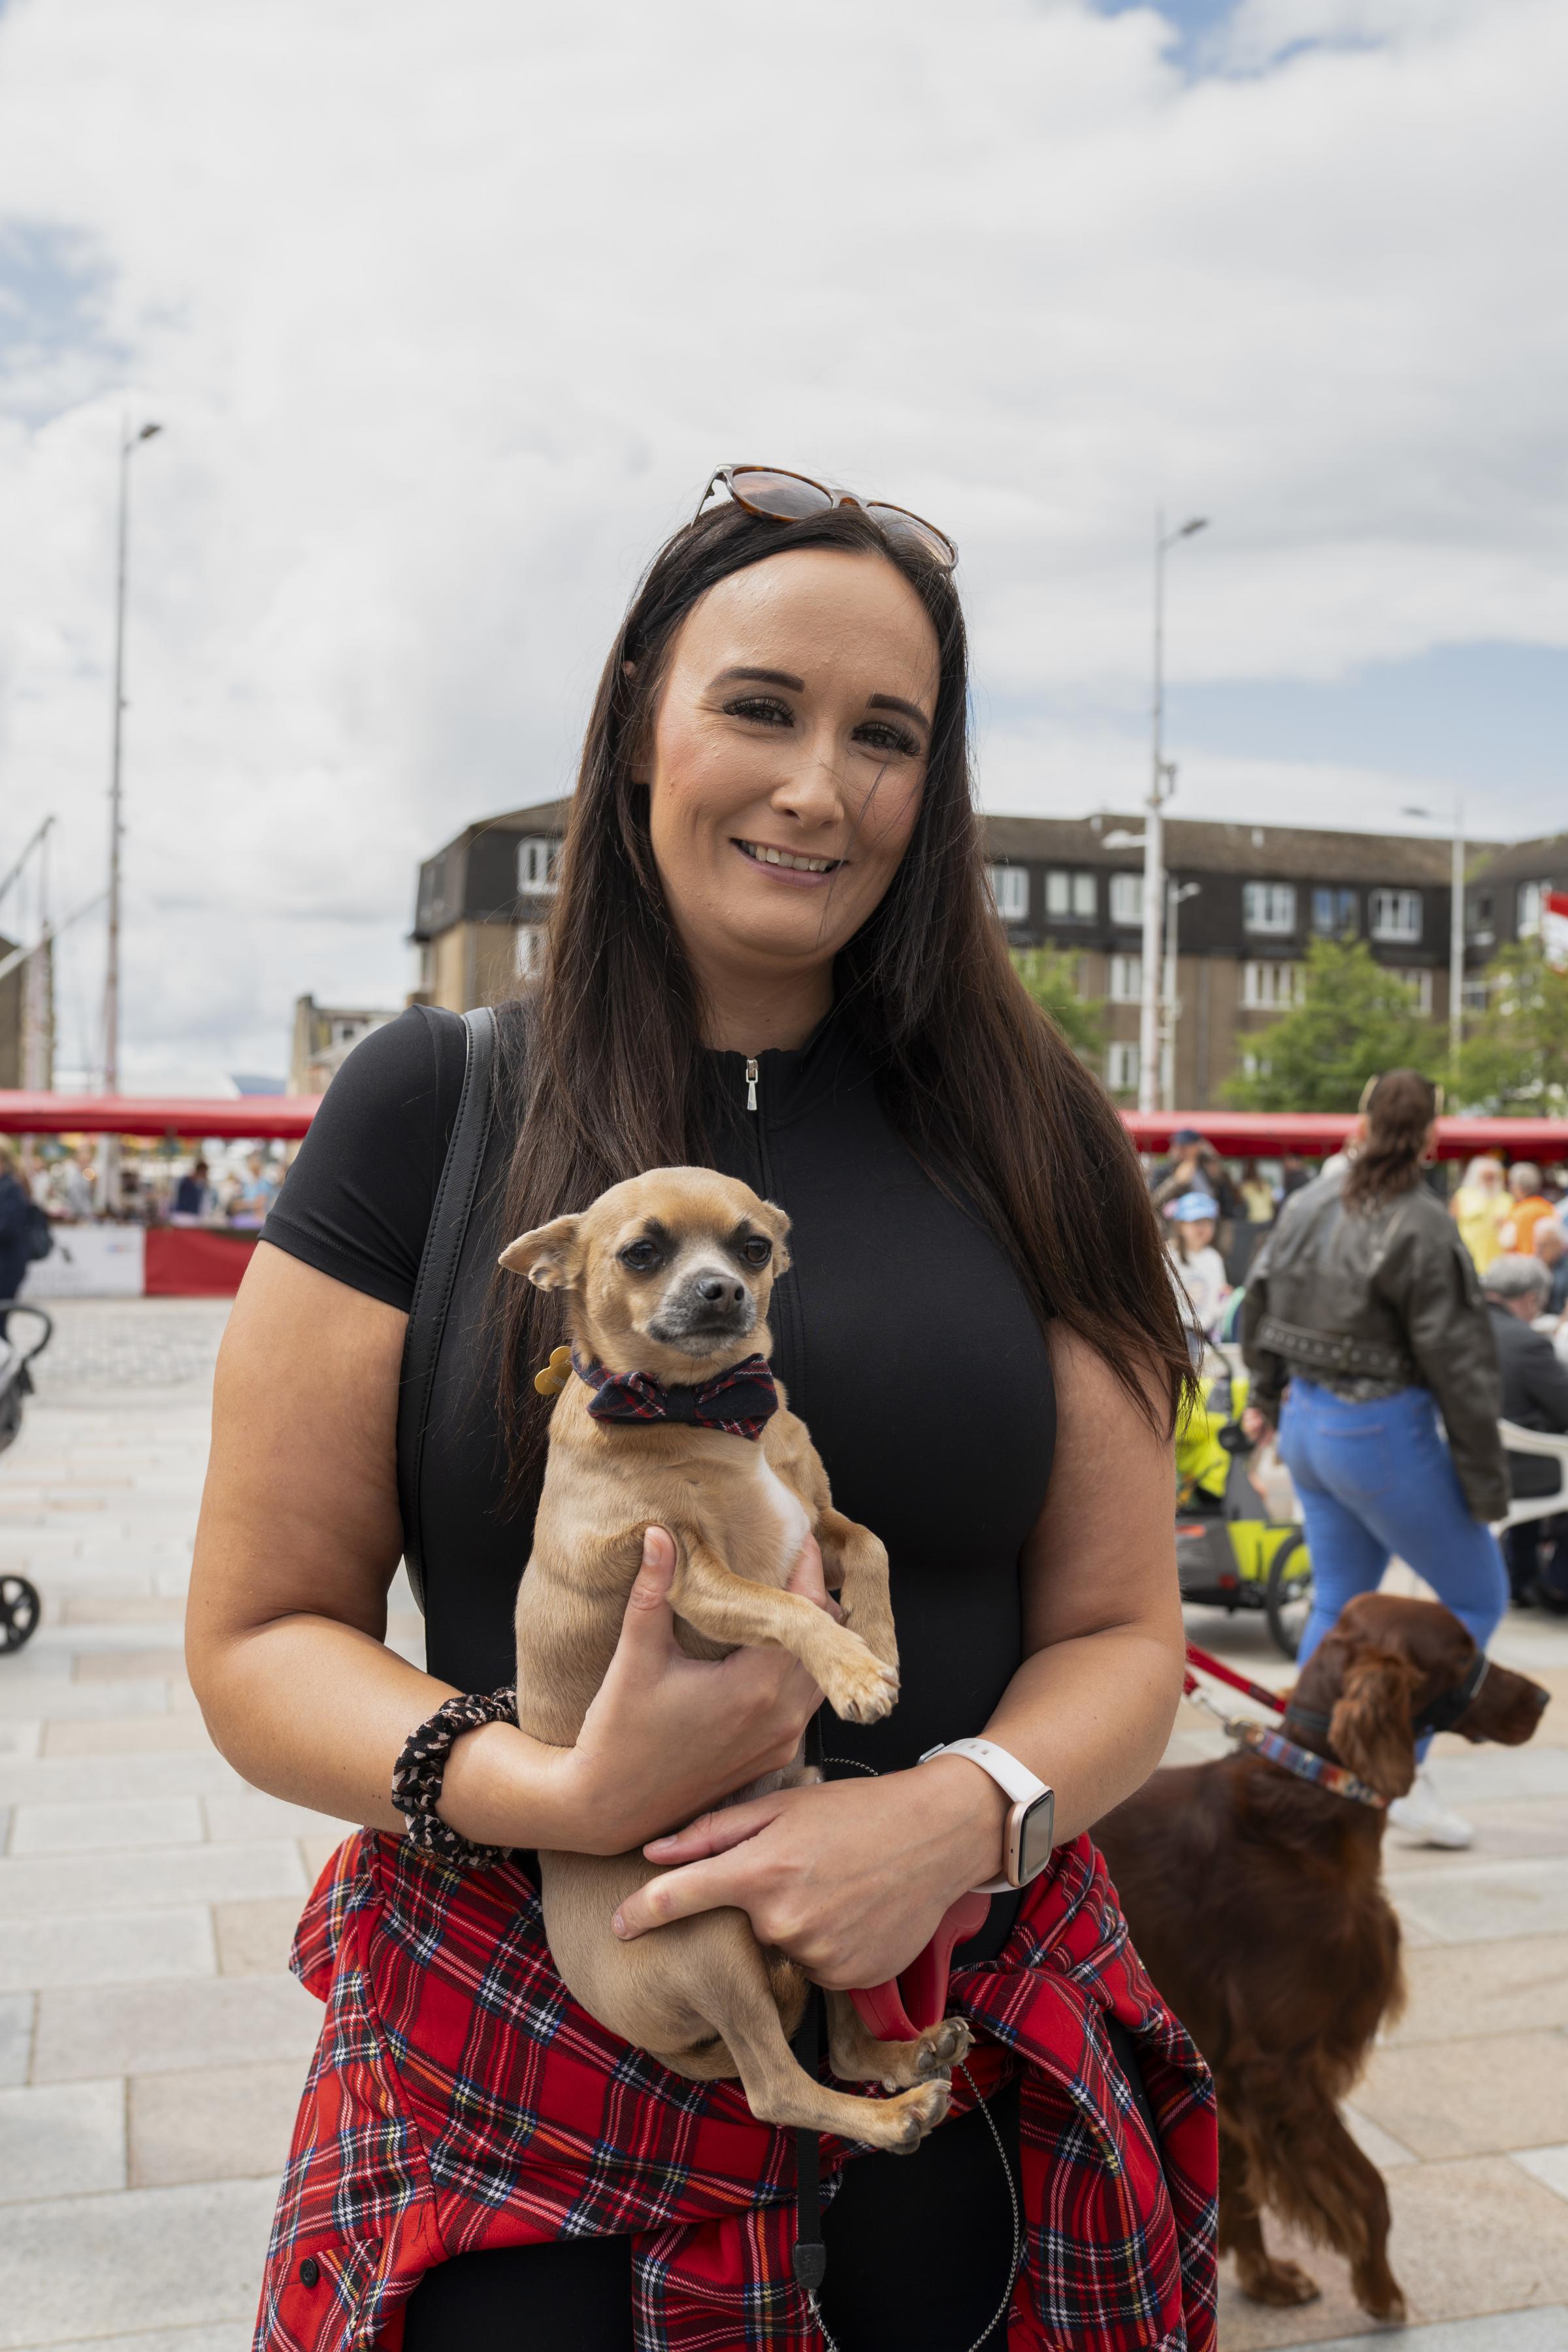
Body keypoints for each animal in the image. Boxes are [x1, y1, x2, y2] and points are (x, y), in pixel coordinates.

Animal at [1100, 1590, 1551, 2323]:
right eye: (1461, 1654)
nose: (1543, 1696)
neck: (1319, 1792)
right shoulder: (1276, 2066)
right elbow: (1371, 2191)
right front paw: (1380, 2291)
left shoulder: (1224, 2057)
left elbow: (1236, 2184)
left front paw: (1264, 2278)